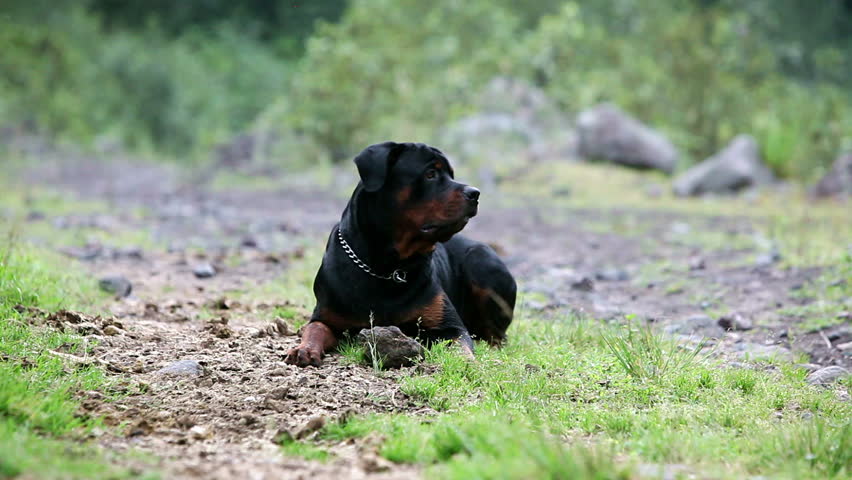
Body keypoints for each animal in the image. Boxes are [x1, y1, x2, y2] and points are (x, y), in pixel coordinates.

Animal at [286, 142, 516, 368]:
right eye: (430, 173)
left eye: (451, 174)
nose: (475, 193)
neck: (388, 267)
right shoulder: (327, 317)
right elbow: (316, 328)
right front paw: (305, 349)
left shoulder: (450, 326)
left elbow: (460, 345)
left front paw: (467, 362)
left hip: (481, 260)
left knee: (496, 335)